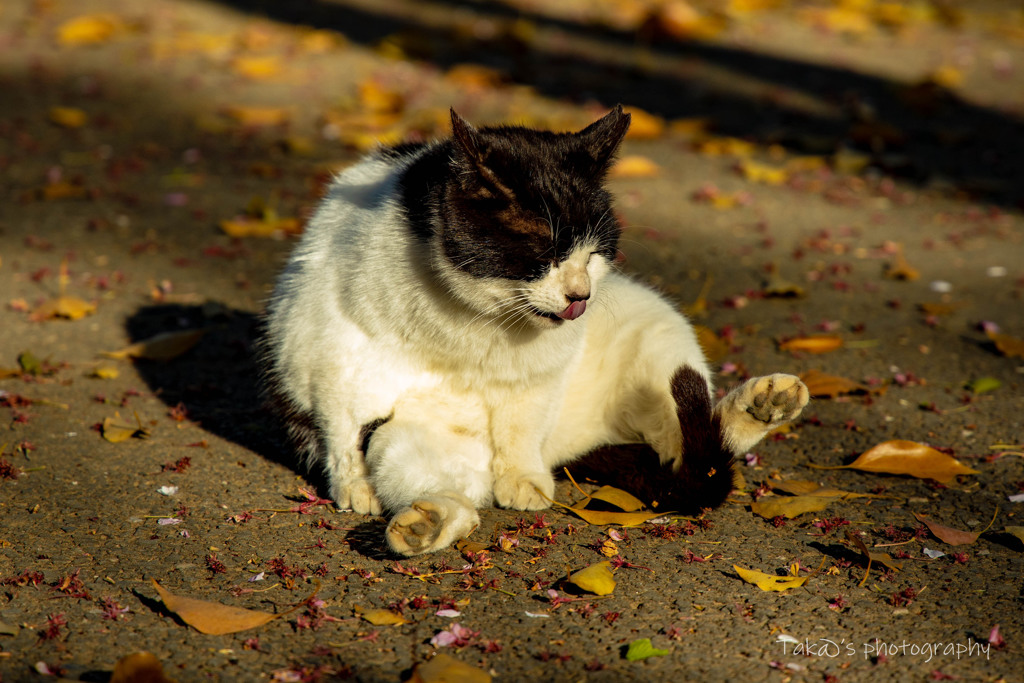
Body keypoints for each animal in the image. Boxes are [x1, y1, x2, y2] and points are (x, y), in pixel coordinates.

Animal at [262, 107, 806, 557]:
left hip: (657, 329)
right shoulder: (340, 356)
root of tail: (573, 447)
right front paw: (354, 489)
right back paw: (426, 524)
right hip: (410, 436)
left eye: (594, 252)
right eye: (546, 251)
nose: (580, 294)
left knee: (688, 445)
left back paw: (766, 404)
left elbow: (521, 429)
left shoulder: (538, 378)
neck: (477, 322)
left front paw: (522, 479)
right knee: (449, 494)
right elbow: (343, 431)